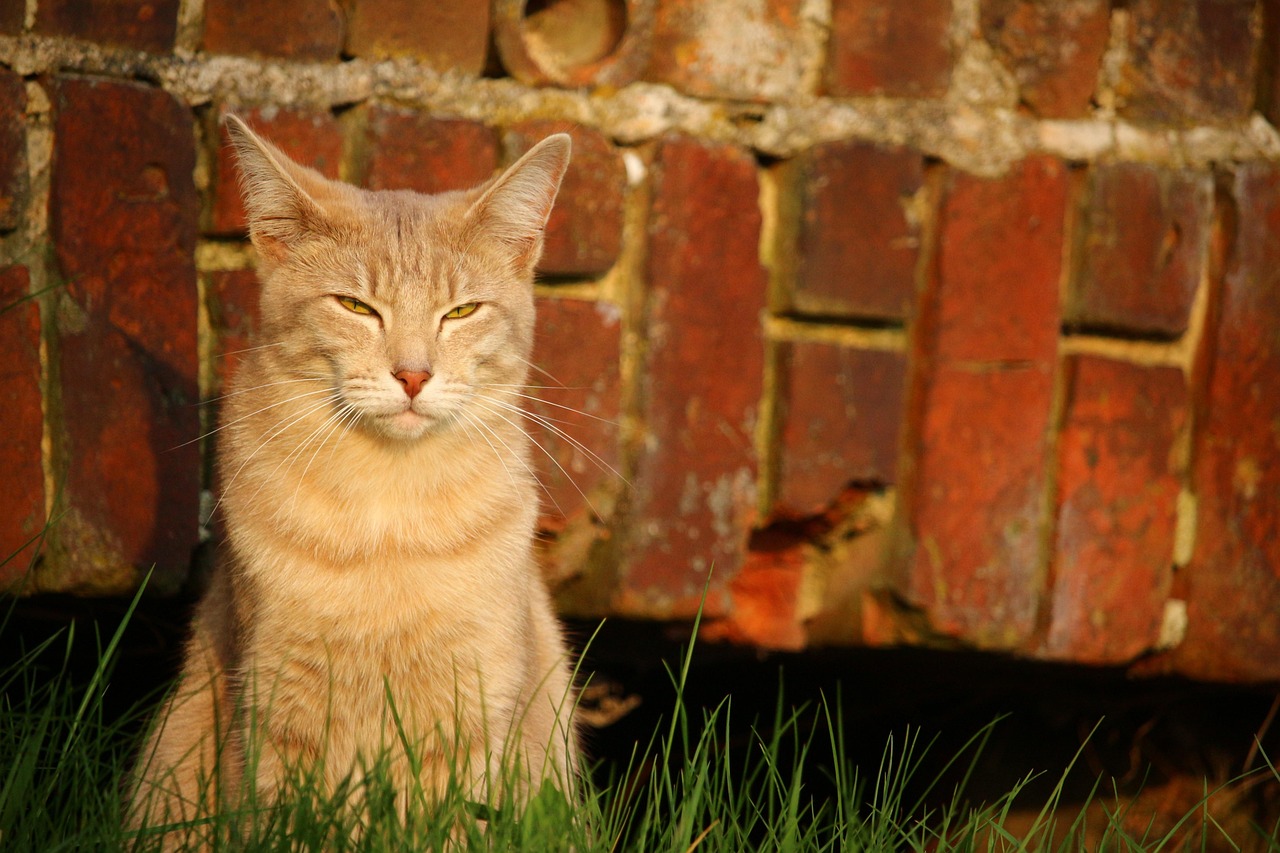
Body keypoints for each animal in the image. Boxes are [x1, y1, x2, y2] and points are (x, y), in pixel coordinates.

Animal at [127, 114, 578, 835]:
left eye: (461, 311)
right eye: (356, 306)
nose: (414, 375)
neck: (387, 520)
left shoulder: (473, 717)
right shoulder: (275, 711)